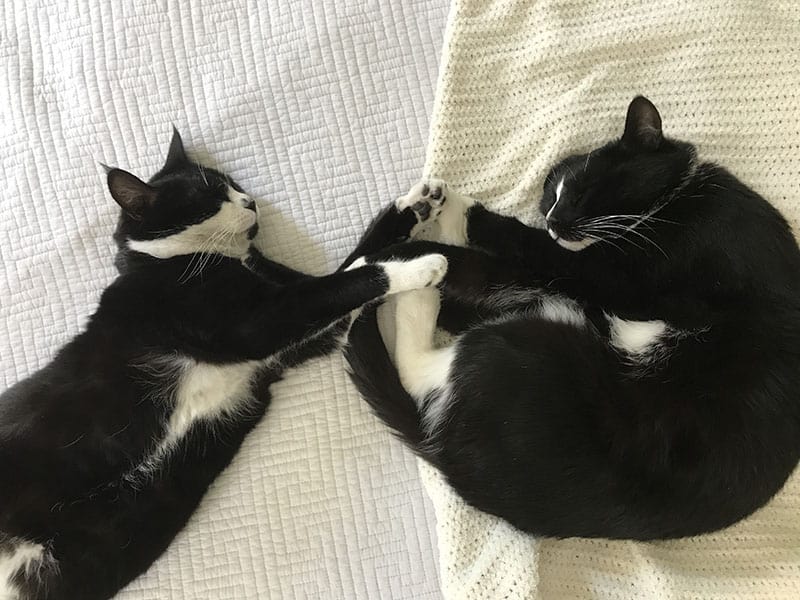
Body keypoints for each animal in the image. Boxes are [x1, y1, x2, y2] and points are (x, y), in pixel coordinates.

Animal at [0, 131, 450, 600]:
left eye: (232, 184)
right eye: (210, 196)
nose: (249, 200)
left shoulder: (292, 343)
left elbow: (353, 267)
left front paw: (417, 207)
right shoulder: (256, 324)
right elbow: (342, 283)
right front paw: (421, 267)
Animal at [344, 97, 800, 540]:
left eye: (581, 192)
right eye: (549, 200)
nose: (551, 221)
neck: (674, 201)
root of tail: (444, 454)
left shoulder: (616, 276)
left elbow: (515, 246)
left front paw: (440, 226)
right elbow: (500, 273)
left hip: (523, 351)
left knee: (419, 365)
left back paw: (414, 285)